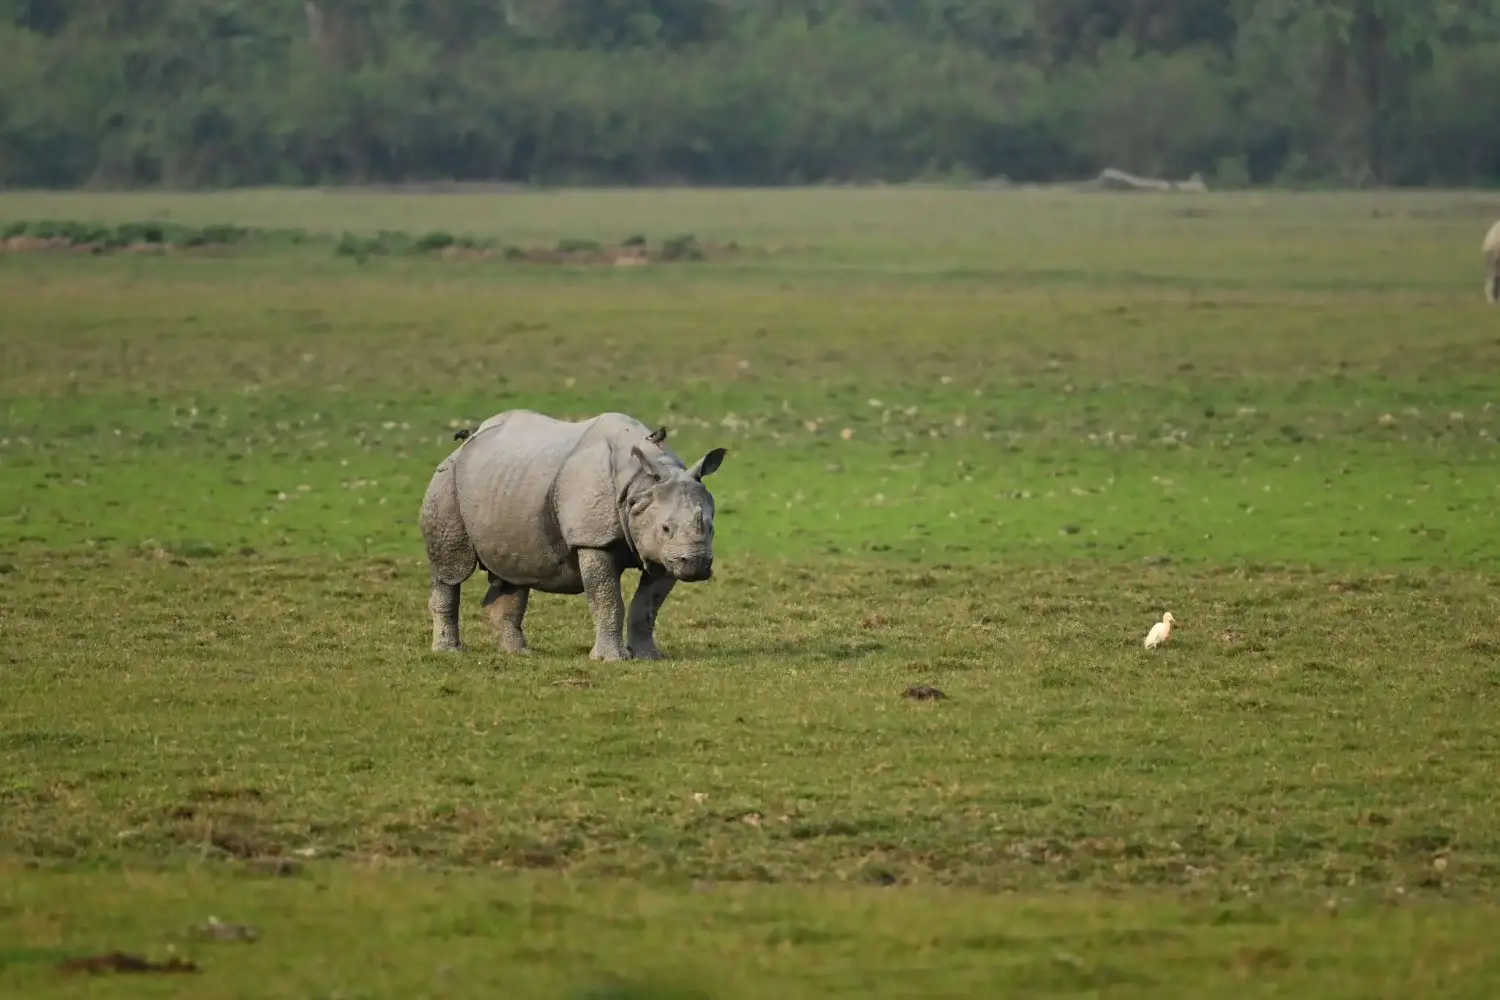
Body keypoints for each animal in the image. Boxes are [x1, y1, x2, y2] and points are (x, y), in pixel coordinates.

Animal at [419, 409, 727, 661]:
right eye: (665, 528)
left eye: (711, 527)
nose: (696, 563)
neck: (641, 485)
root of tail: (462, 446)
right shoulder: (592, 538)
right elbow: (607, 599)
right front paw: (611, 659)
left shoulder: (664, 553)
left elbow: (648, 605)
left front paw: (649, 657)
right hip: (447, 479)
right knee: (452, 569)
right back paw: (449, 652)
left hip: (509, 485)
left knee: (515, 571)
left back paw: (519, 653)